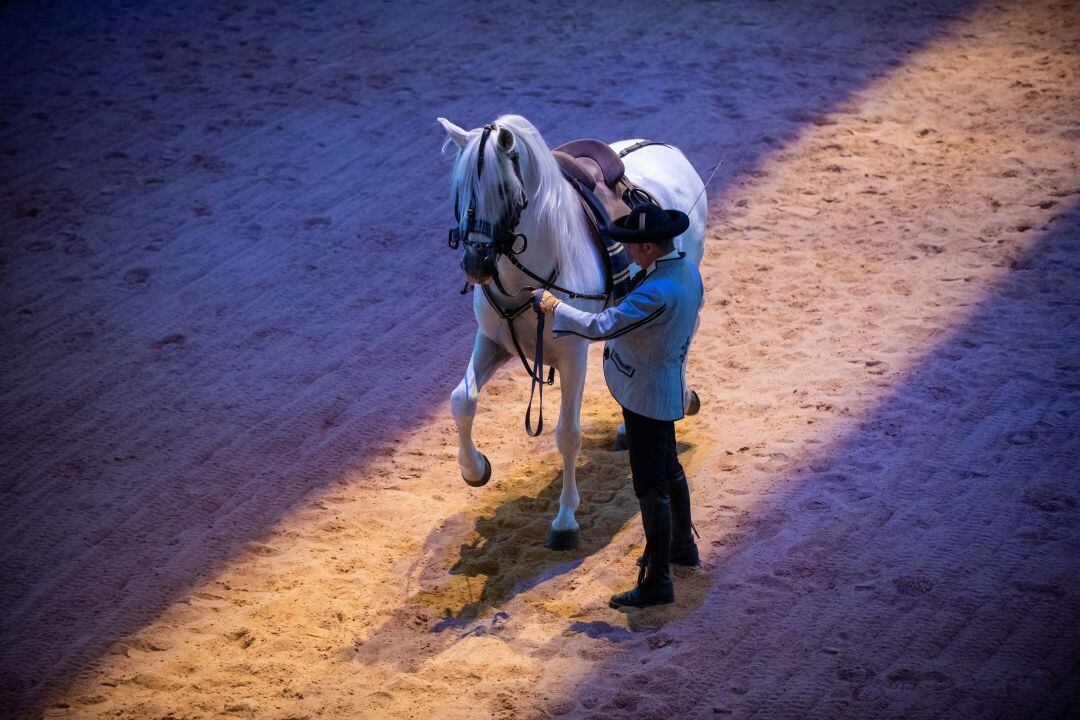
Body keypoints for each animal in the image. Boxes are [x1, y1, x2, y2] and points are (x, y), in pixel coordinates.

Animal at [438, 113, 708, 552]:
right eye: (460, 190)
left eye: (503, 190)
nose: (475, 263)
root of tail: (664, 147)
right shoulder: (493, 342)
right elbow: (462, 400)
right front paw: (474, 469)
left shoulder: (573, 356)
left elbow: (567, 434)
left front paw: (565, 520)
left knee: (682, 338)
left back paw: (678, 398)